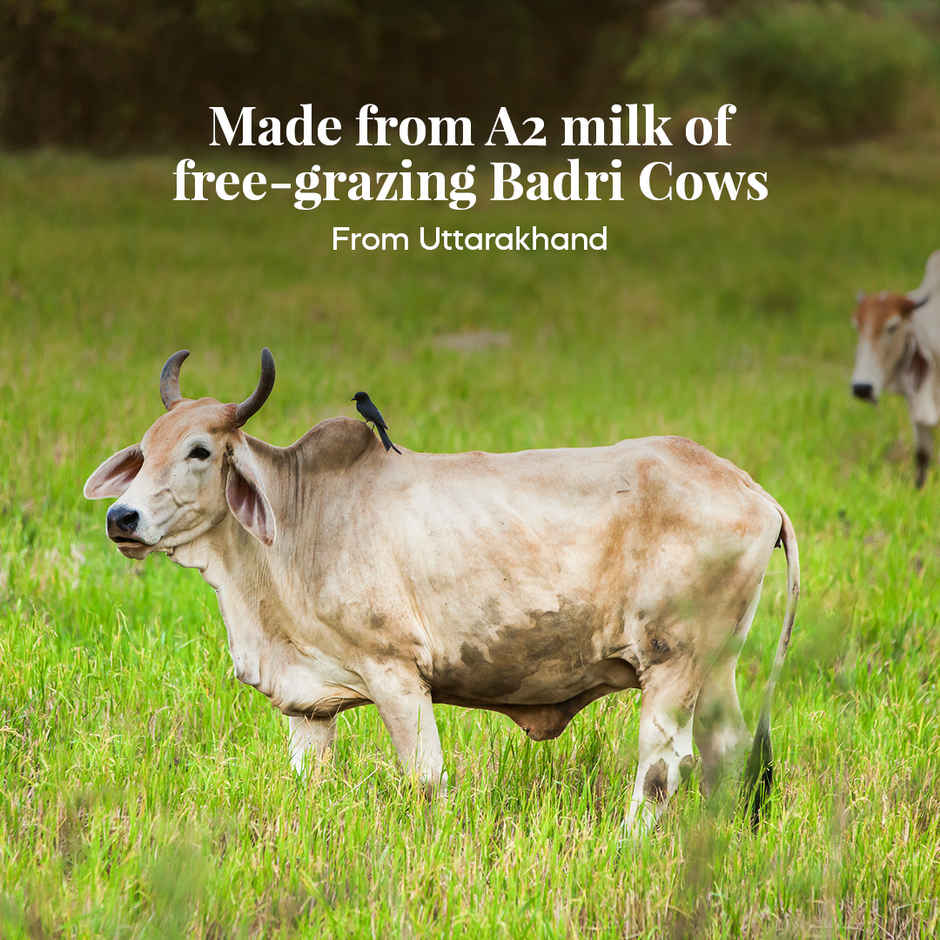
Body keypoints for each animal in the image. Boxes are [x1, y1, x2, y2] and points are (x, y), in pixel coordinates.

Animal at [84, 349, 799, 832]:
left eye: (200, 451)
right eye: (145, 450)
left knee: (661, 765)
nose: (123, 518)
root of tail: (753, 491)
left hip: (672, 667)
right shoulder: (307, 704)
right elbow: (311, 781)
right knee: (727, 752)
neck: (299, 521)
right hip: (716, 668)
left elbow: (426, 781)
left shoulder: (397, 673)